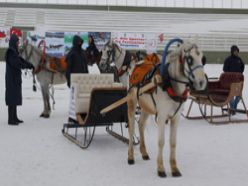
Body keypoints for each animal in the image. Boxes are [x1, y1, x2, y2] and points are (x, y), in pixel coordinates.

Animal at [126, 40, 207, 177]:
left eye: (202, 58)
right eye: (189, 59)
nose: (201, 82)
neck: (169, 83)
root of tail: (138, 63)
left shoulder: (176, 117)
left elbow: (173, 142)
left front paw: (174, 168)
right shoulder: (162, 116)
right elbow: (161, 141)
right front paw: (160, 168)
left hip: (146, 106)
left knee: (141, 124)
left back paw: (144, 152)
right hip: (132, 102)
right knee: (131, 128)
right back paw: (130, 156)